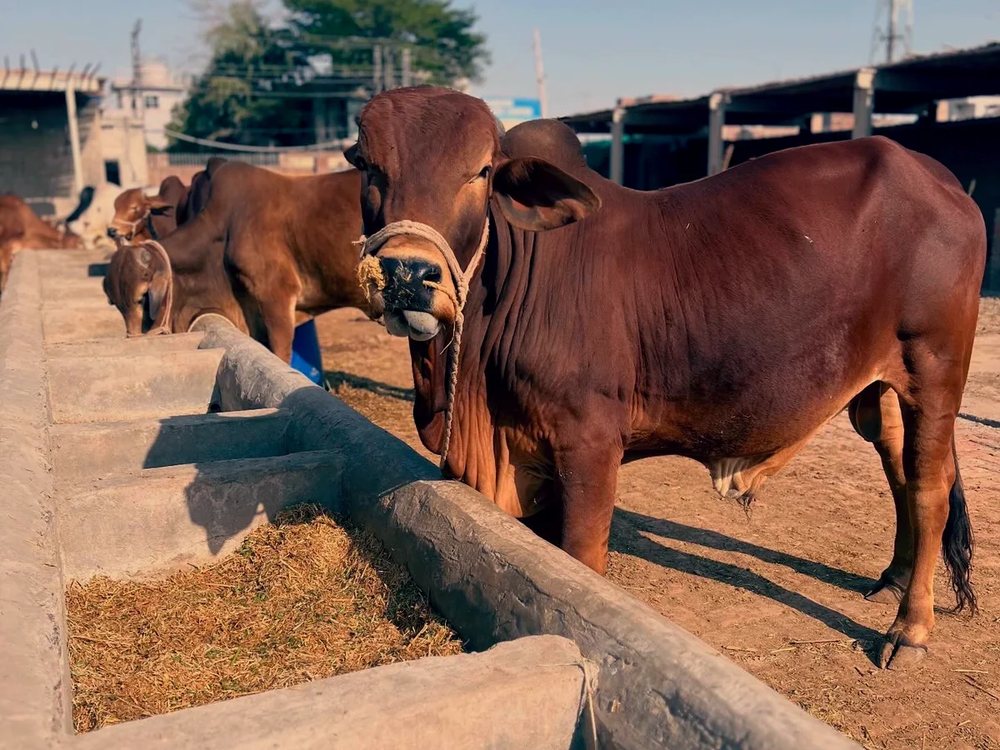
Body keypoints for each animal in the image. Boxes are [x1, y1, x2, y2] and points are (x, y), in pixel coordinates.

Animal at [348, 87, 986, 670]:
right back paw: (894, 575)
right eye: (369, 166)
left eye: (480, 171)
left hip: (934, 369)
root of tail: (941, 178)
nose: (406, 274)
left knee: (929, 486)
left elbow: (580, 560)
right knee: (896, 467)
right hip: (878, 387)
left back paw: (910, 628)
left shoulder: (588, 444)